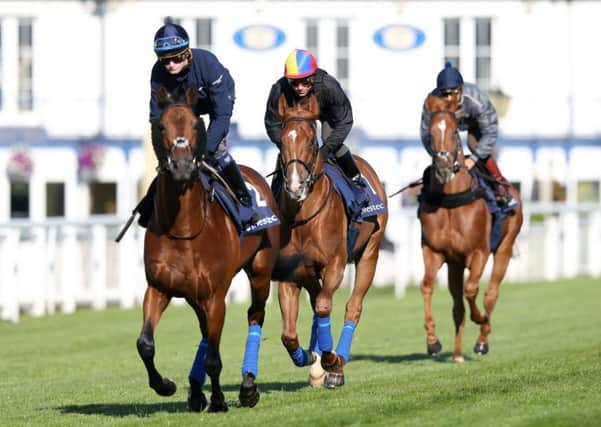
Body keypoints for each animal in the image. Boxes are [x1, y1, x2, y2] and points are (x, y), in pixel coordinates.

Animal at [139, 86, 280, 412]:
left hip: (260, 270)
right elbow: (145, 344)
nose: (181, 166)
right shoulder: (159, 287)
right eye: (161, 126)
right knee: (206, 332)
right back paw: (195, 390)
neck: (184, 230)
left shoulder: (215, 294)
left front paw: (217, 399)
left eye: (195, 125)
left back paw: (247, 387)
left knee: (255, 314)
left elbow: (214, 358)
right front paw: (165, 385)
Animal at [274, 93, 390, 388]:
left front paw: (331, 360)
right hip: (309, 273)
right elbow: (288, 333)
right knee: (316, 303)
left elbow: (326, 306)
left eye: (310, 141)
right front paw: (308, 357)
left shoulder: (335, 265)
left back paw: (336, 366)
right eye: (282, 141)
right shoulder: (290, 274)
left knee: (353, 306)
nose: (295, 186)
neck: (304, 217)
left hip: (370, 253)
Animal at [420, 93, 524, 362]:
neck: (451, 200)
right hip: (455, 265)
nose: (444, 166)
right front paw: (433, 341)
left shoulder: (479, 252)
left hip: (505, 247)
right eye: (430, 132)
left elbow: (472, 289)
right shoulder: (435, 252)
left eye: (455, 131)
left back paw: (482, 340)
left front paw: (480, 318)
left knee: (491, 293)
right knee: (457, 306)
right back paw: (457, 354)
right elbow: (427, 286)